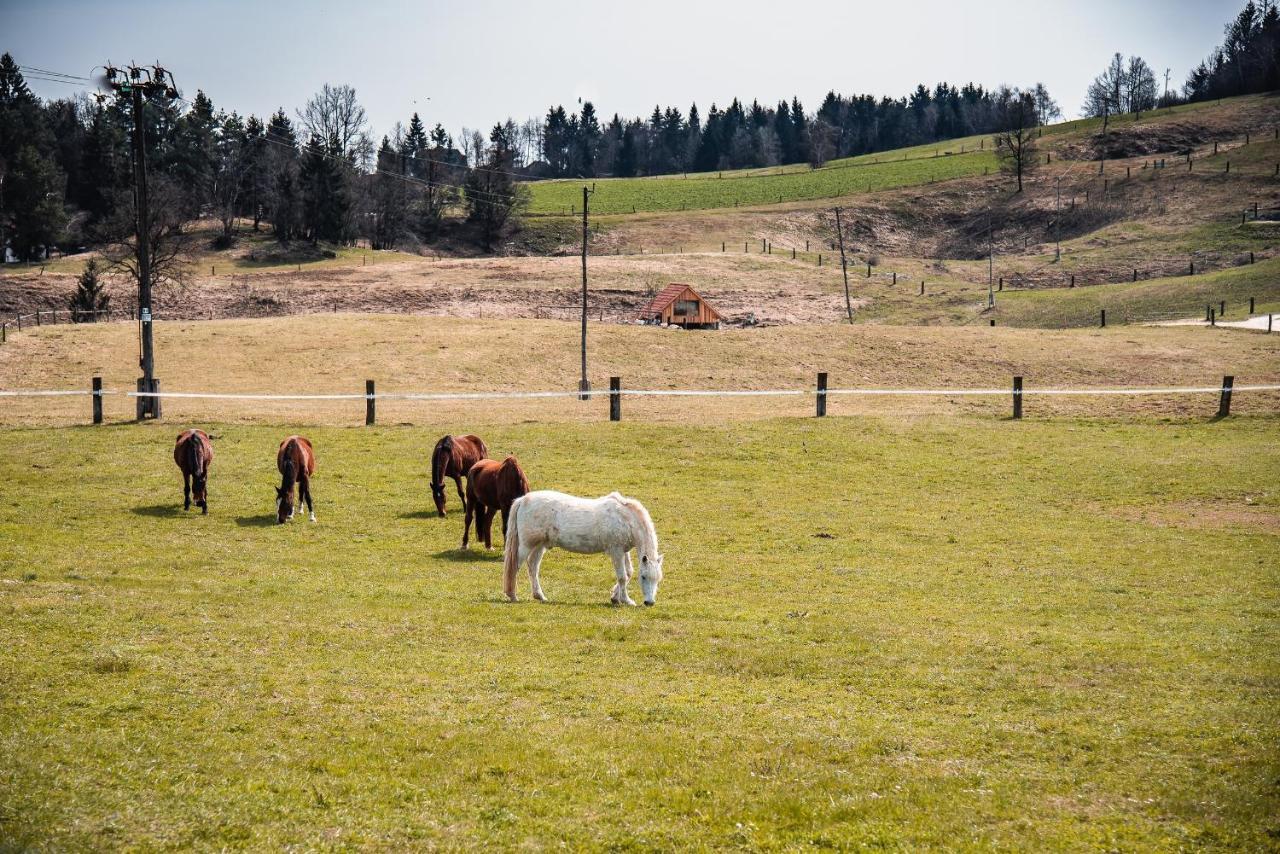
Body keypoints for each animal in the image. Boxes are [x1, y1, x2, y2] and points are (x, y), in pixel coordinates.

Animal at [499, 491, 665, 604]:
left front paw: (615, 597)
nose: (649, 603)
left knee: (533, 567)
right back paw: (512, 595)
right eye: (644, 577)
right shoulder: (616, 551)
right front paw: (626, 600)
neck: (626, 518)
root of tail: (522, 500)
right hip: (526, 546)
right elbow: (622, 576)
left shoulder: (624, 551)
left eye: (658, 579)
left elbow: (628, 573)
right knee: (514, 567)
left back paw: (539, 596)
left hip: (540, 546)